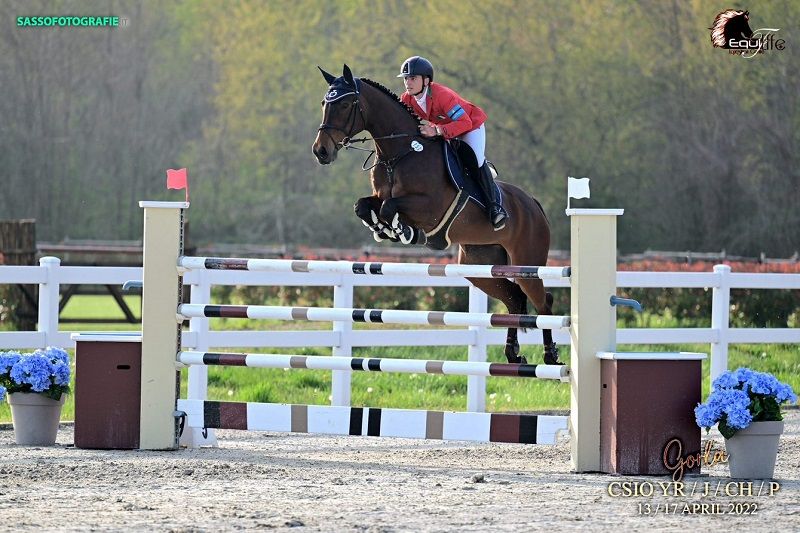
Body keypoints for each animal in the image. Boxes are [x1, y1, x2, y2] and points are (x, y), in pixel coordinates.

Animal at [311, 65, 560, 365]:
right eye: (324, 103)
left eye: (346, 104)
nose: (321, 151)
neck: (400, 153)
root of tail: (533, 204)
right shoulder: (378, 196)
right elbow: (364, 206)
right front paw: (383, 229)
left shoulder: (430, 207)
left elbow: (390, 207)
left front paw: (402, 230)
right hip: (479, 266)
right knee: (513, 298)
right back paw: (513, 355)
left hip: (527, 261)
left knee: (543, 301)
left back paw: (551, 355)